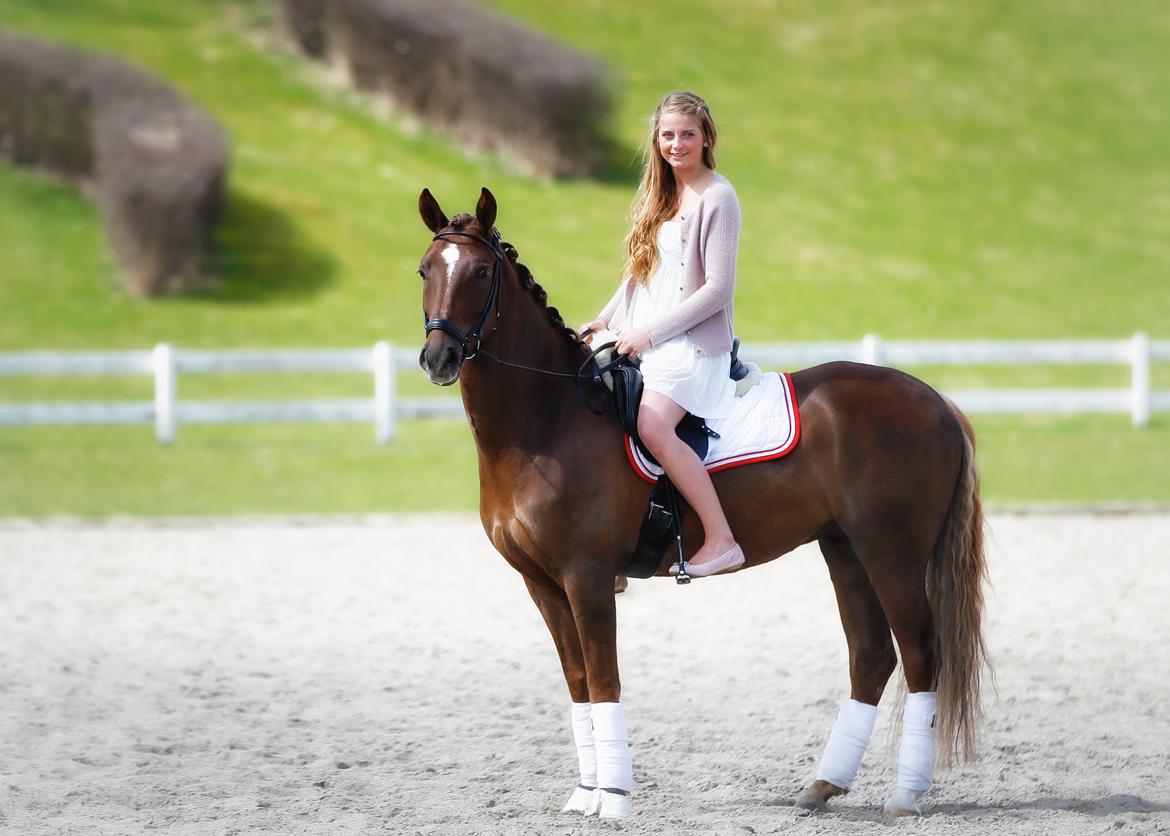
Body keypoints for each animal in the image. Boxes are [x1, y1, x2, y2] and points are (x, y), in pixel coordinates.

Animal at [414, 185, 987, 823]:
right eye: (425, 270)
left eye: (481, 271)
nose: (438, 357)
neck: (548, 423)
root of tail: (935, 400)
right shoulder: (541, 582)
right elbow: (578, 682)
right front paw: (587, 792)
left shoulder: (587, 577)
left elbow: (604, 680)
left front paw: (615, 797)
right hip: (846, 550)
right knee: (872, 657)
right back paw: (823, 785)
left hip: (893, 555)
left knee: (920, 654)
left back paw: (906, 796)